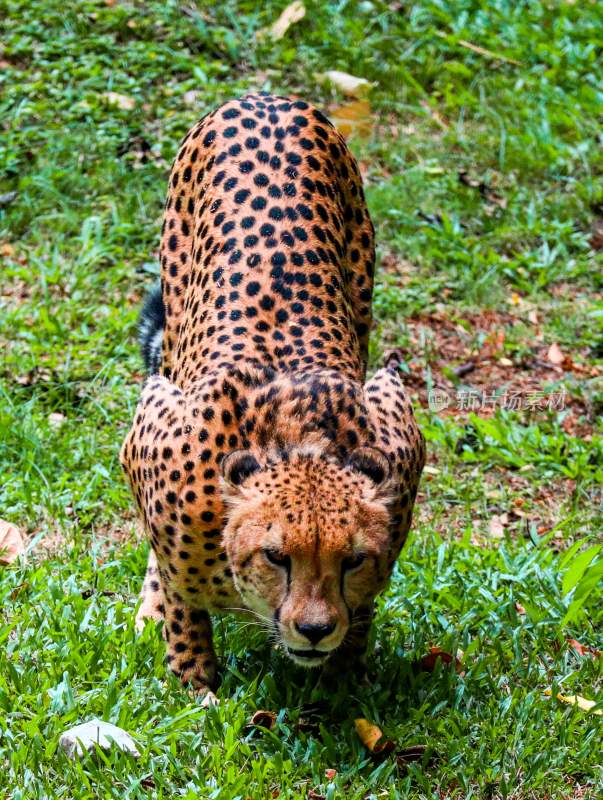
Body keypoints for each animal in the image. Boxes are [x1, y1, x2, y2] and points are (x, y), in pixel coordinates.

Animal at [120, 90, 428, 696]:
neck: (299, 441)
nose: (314, 629)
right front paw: (194, 681)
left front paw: (342, 683)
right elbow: (177, 590)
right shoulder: (149, 433)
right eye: (277, 556)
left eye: (353, 560)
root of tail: (266, 96)